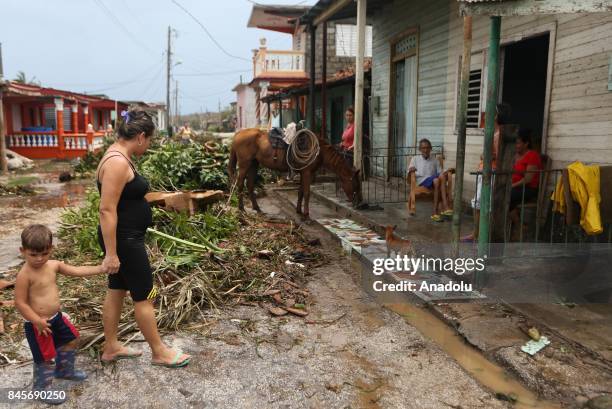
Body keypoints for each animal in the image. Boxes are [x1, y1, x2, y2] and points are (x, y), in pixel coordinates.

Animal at [230, 128, 364, 218]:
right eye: (356, 185)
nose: (359, 204)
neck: (319, 151)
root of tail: (237, 134)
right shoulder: (307, 173)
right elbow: (307, 193)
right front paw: (307, 214)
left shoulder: (303, 173)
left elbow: (300, 192)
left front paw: (299, 211)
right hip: (244, 165)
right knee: (240, 184)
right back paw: (241, 208)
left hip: (254, 164)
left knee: (250, 185)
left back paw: (257, 208)